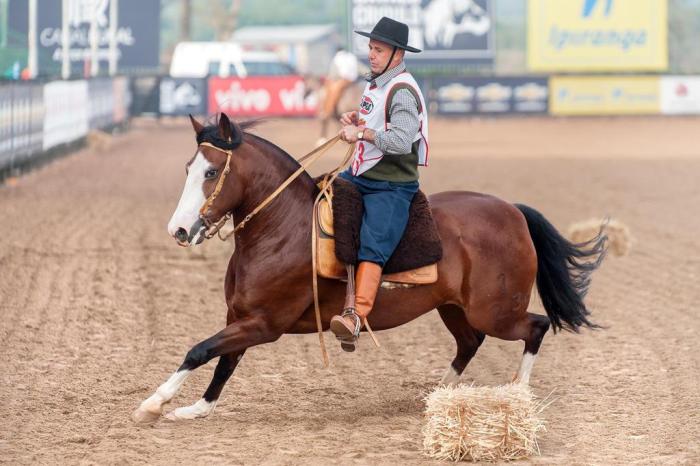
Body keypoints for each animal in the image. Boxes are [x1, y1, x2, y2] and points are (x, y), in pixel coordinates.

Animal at [133, 113, 608, 422]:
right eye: (189, 167)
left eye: (212, 171)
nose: (178, 229)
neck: (285, 229)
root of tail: (512, 211)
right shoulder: (240, 317)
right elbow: (223, 361)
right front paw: (196, 409)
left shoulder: (262, 324)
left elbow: (200, 350)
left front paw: (153, 404)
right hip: (454, 308)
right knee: (470, 343)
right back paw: (437, 394)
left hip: (496, 311)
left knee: (536, 326)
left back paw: (517, 390)